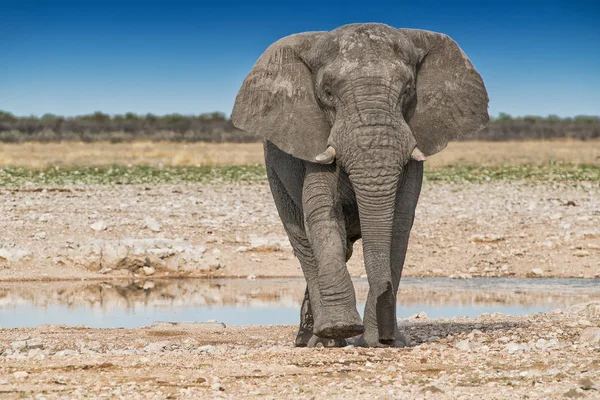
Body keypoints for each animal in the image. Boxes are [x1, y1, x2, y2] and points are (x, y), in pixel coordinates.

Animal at [230, 22, 488, 346]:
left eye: (408, 91)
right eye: (328, 93)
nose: (388, 338)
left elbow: (398, 223)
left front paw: (382, 342)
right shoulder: (314, 140)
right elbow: (321, 216)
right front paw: (340, 329)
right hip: (274, 171)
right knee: (306, 243)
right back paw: (319, 340)